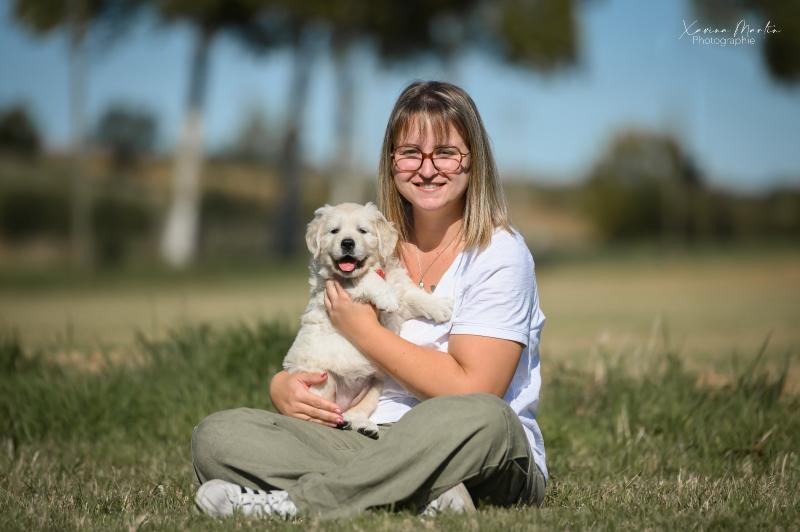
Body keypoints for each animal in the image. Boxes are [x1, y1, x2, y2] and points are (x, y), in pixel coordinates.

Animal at [284, 202, 454, 438]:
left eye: (362, 231)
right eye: (334, 231)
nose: (347, 243)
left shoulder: (400, 292)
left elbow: (413, 296)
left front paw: (440, 306)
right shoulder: (333, 284)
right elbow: (366, 278)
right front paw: (386, 297)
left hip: (375, 383)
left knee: (354, 412)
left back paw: (363, 425)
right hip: (322, 380)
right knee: (326, 415)